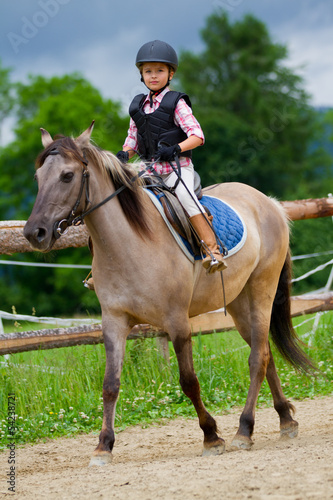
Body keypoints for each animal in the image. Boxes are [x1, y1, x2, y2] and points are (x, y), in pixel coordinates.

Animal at [24, 123, 312, 466]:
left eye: (67, 176)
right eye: (38, 177)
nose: (34, 233)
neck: (130, 243)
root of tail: (268, 202)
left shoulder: (177, 323)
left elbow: (188, 381)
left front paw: (211, 436)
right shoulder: (114, 323)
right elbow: (110, 384)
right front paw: (103, 446)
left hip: (261, 292)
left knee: (257, 358)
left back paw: (244, 430)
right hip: (240, 304)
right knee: (265, 353)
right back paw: (286, 420)